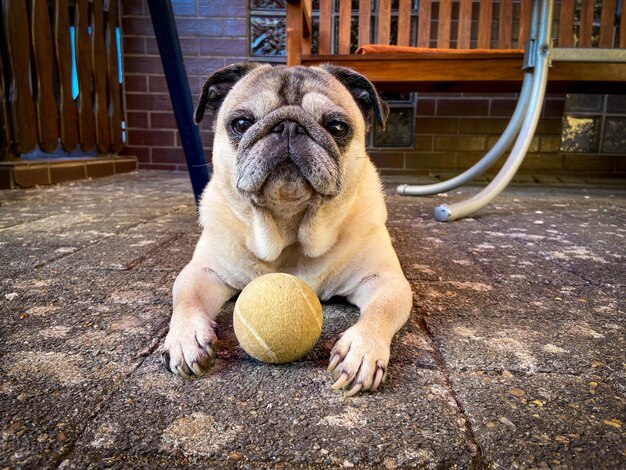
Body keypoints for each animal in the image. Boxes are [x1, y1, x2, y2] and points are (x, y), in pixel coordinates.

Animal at [161, 60, 412, 394]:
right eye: (241, 123)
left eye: (337, 127)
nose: (290, 126)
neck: (289, 230)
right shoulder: (204, 271)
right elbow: (187, 299)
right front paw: (185, 337)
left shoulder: (386, 280)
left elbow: (381, 310)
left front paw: (362, 349)